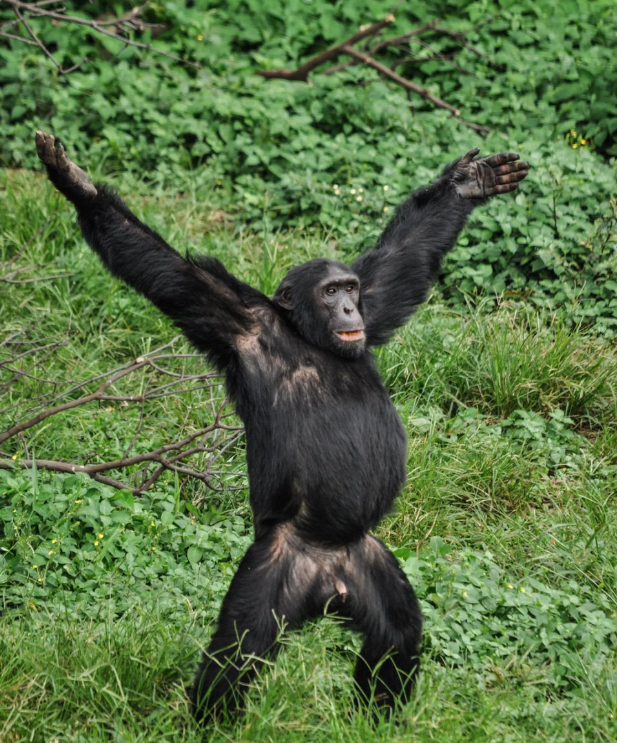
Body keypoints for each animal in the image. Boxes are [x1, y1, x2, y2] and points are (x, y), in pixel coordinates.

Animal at [35, 131, 524, 724]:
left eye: (350, 287)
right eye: (329, 291)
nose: (347, 307)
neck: (311, 340)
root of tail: (329, 583)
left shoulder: (378, 299)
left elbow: (405, 256)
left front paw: (467, 183)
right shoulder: (234, 319)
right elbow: (168, 273)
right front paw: (76, 182)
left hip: (367, 562)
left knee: (398, 635)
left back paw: (374, 718)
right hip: (276, 566)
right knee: (238, 650)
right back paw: (211, 724)